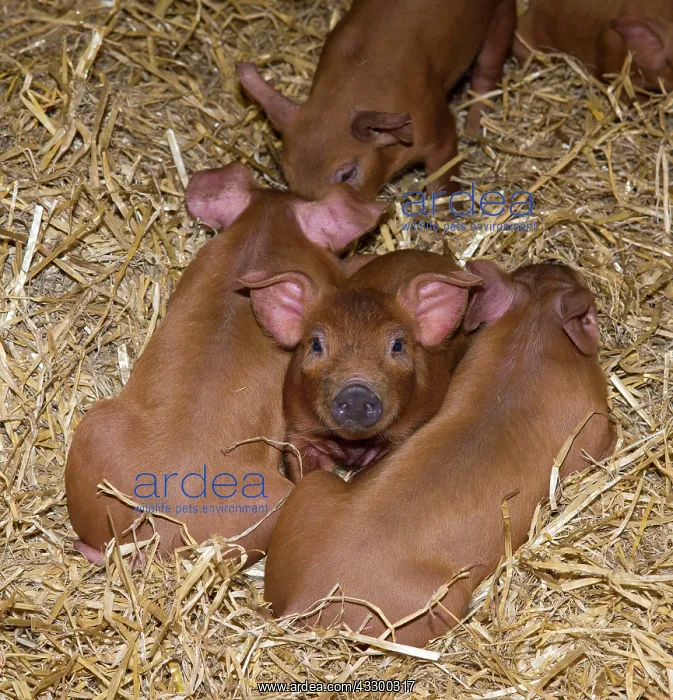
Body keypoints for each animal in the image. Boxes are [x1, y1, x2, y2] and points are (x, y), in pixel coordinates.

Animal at [236, 0, 517, 200]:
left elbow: (444, 172)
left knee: (487, 69)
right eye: (286, 174)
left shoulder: (435, 124)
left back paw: (473, 129)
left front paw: (447, 212)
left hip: (500, 13)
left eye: (347, 174)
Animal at [264, 261, 616, 647]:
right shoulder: (592, 425)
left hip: (313, 491)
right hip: (439, 605)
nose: (556, 262)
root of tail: (304, 599)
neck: (532, 338)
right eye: (591, 314)